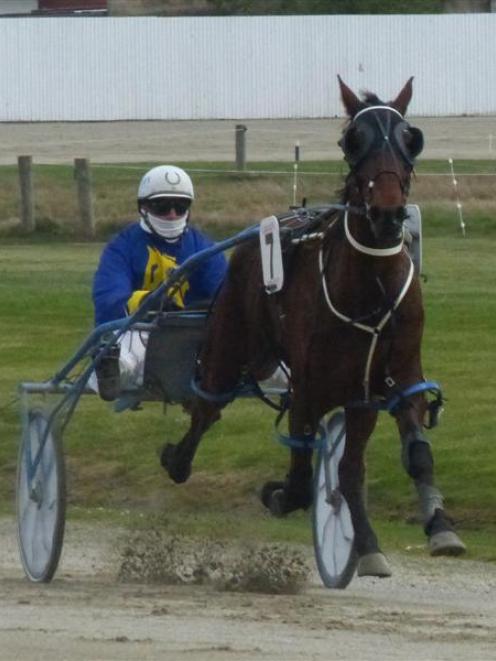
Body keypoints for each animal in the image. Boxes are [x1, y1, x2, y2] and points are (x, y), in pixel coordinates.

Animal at [162, 76, 464, 572]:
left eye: (411, 138)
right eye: (352, 139)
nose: (387, 212)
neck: (369, 286)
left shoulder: (392, 377)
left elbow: (413, 455)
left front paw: (440, 529)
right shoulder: (307, 387)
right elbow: (301, 482)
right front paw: (278, 493)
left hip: (356, 397)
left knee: (349, 467)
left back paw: (367, 543)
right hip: (232, 343)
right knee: (207, 407)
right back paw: (177, 458)